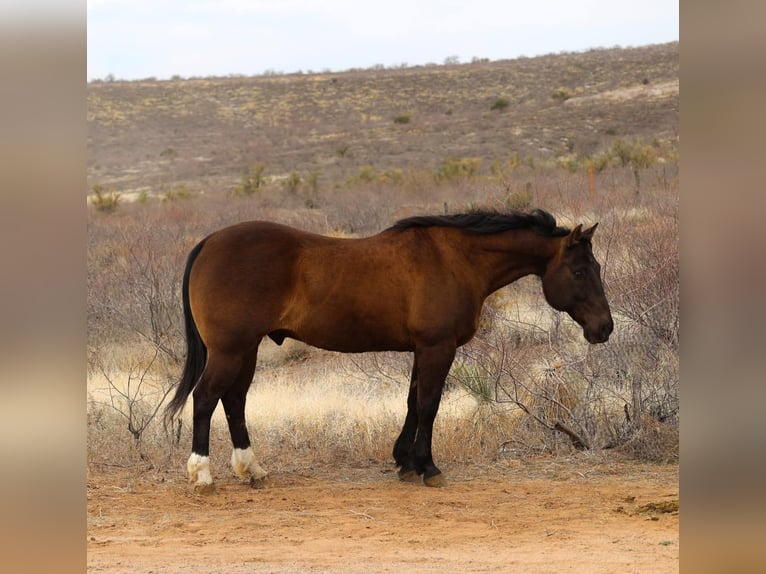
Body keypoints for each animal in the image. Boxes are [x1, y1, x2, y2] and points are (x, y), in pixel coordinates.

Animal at [165, 209, 613, 492]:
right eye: (579, 271)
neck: (455, 260)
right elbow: (429, 405)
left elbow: (413, 402)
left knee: (234, 401)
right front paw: (428, 466)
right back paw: (202, 475)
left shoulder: (422, 350)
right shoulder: (437, 348)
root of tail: (210, 242)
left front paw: (405, 462)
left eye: (596, 268)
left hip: (247, 351)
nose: (604, 328)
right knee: (206, 398)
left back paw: (252, 470)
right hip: (230, 350)